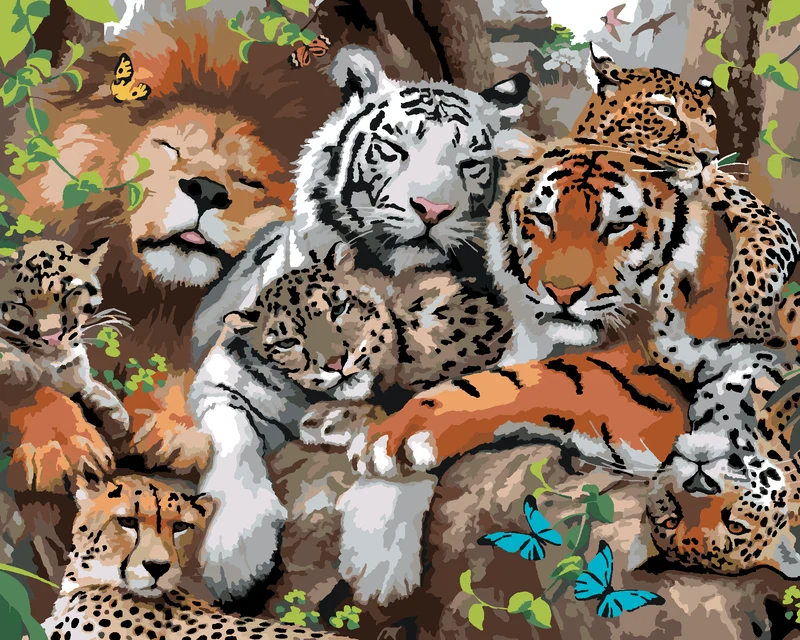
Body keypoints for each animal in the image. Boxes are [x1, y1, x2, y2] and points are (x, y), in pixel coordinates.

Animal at [188, 45, 531, 602]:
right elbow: (232, 447)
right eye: (394, 148)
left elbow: (415, 432)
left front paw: (379, 561)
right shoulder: (226, 377)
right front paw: (234, 553)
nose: (433, 208)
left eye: (470, 163)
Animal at [572, 45, 800, 344]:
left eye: (710, 120)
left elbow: (760, 257)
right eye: (666, 110)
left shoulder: (763, 217)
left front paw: (752, 324)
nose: (710, 158)